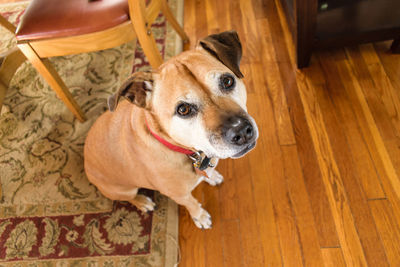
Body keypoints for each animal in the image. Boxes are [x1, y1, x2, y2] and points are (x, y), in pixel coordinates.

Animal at [84, 30, 260, 228]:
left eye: (228, 81)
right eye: (183, 109)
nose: (242, 132)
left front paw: (212, 175)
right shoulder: (179, 195)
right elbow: (192, 203)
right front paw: (200, 217)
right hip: (122, 190)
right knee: (130, 197)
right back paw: (142, 202)